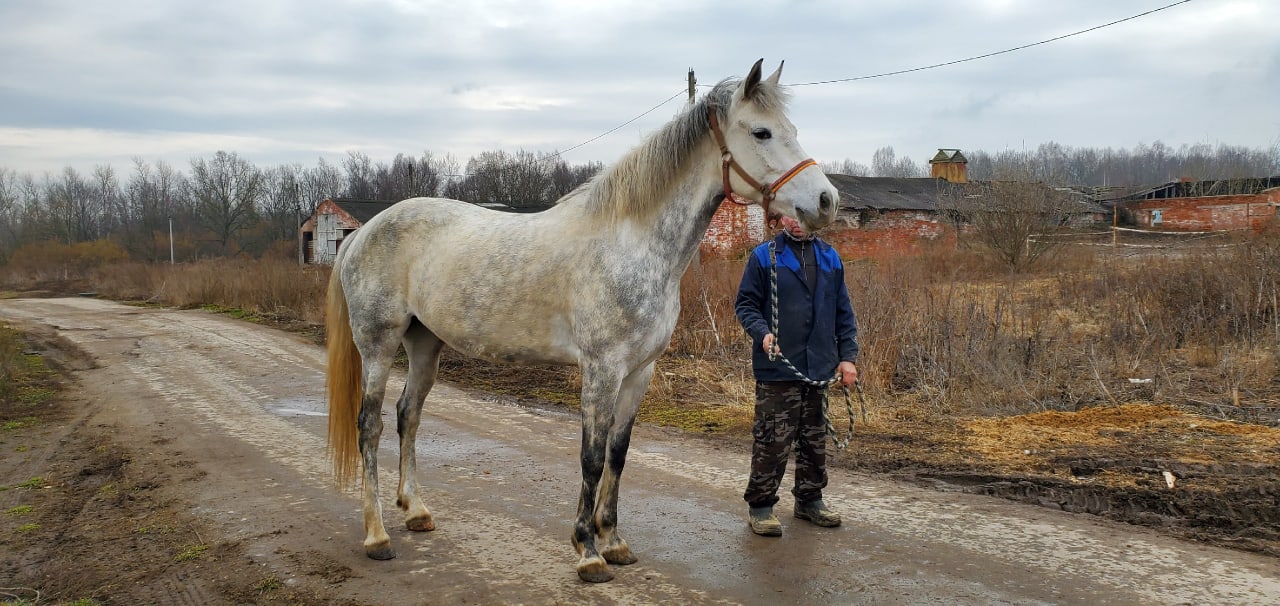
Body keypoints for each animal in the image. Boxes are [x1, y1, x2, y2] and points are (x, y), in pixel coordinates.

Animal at [325, 60, 834, 581]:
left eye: (792, 129)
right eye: (761, 132)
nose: (825, 200)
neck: (631, 243)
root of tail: (363, 232)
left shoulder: (639, 372)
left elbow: (618, 454)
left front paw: (614, 541)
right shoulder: (601, 369)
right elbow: (591, 458)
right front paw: (587, 551)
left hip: (424, 344)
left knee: (409, 415)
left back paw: (417, 511)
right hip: (378, 345)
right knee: (370, 426)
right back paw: (377, 534)